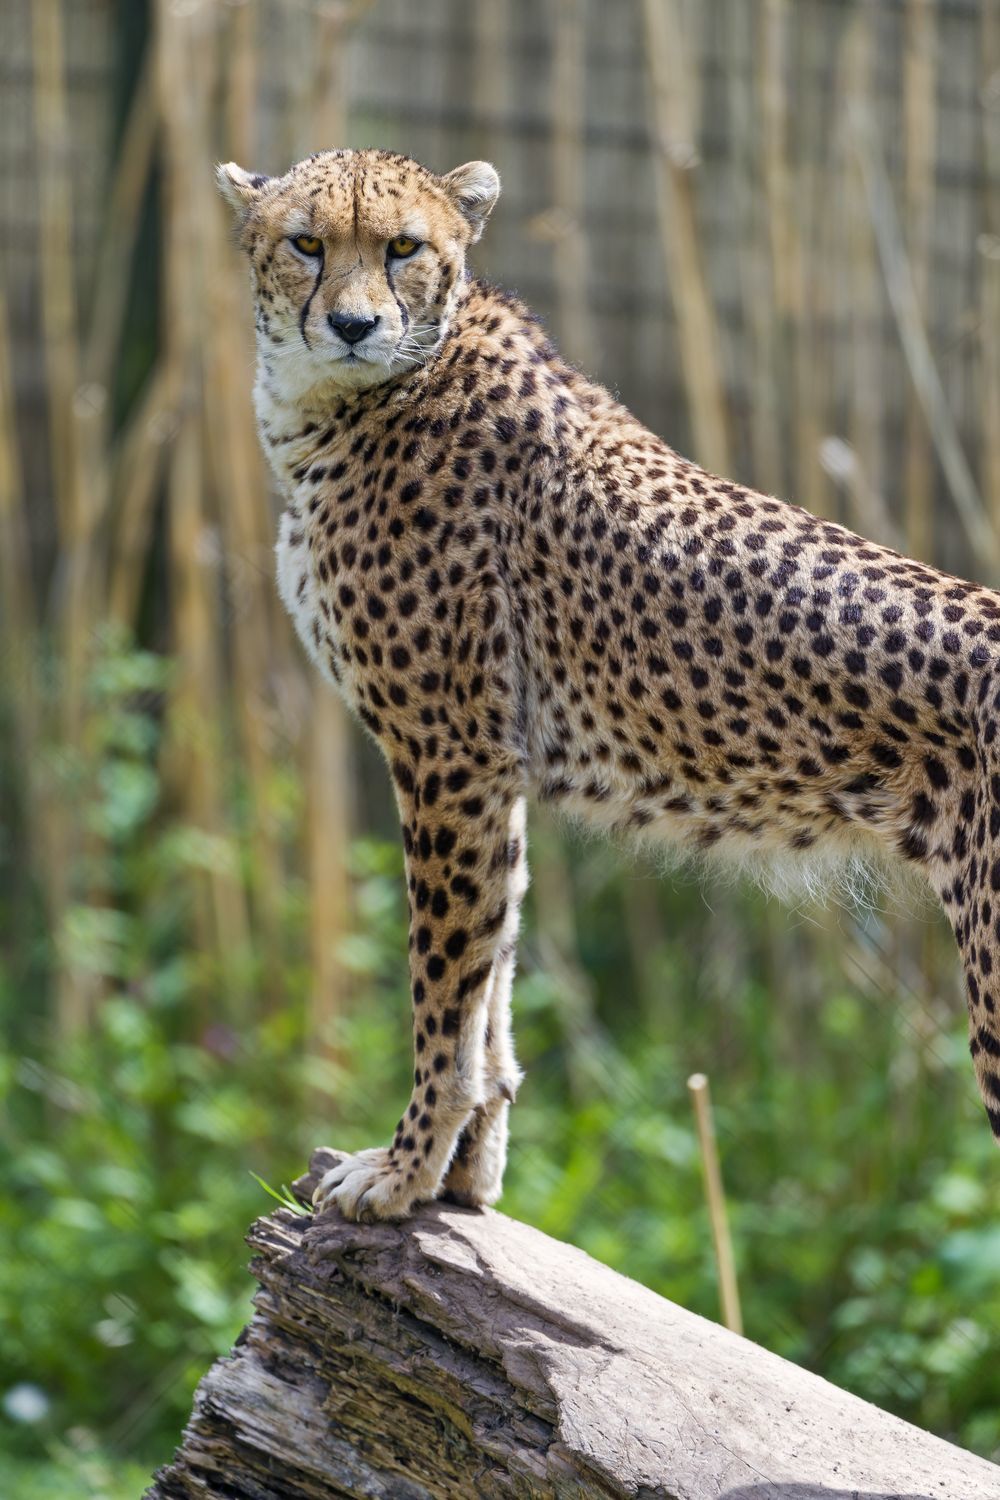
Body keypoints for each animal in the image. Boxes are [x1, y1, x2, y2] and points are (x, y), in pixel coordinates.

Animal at [220, 149, 1000, 1218]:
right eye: (305, 243)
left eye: (403, 248)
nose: (352, 324)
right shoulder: (488, 770)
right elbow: (491, 982)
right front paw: (463, 1179)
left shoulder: (449, 755)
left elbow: (443, 992)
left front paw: (403, 1173)